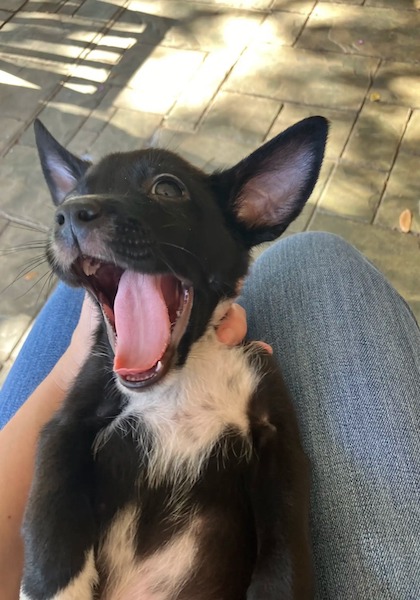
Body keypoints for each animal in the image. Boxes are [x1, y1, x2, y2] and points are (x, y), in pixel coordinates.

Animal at [19, 115, 328, 596]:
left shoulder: (282, 449)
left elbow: (285, 555)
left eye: (167, 189)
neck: (181, 375)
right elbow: (50, 513)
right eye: (70, 196)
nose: (69, 212)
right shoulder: (65, 426)